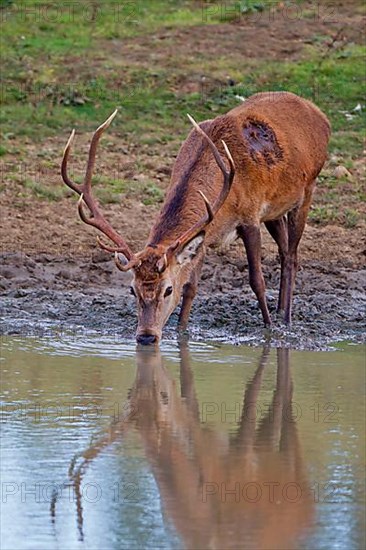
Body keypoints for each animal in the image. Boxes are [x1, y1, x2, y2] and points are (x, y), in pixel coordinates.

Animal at [61, 92, 330, 348]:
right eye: (132, 289)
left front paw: (270, 329)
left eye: (168, 289)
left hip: (307, 189)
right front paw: (181, 332)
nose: (146, 336)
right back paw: (281, 309)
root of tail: (319, 114)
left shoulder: (250, 216)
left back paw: (285, 318)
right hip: (275, 211)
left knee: (291, 255)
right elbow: (191, 287)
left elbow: (257, 281)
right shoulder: (204, 235)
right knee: (284, 249)